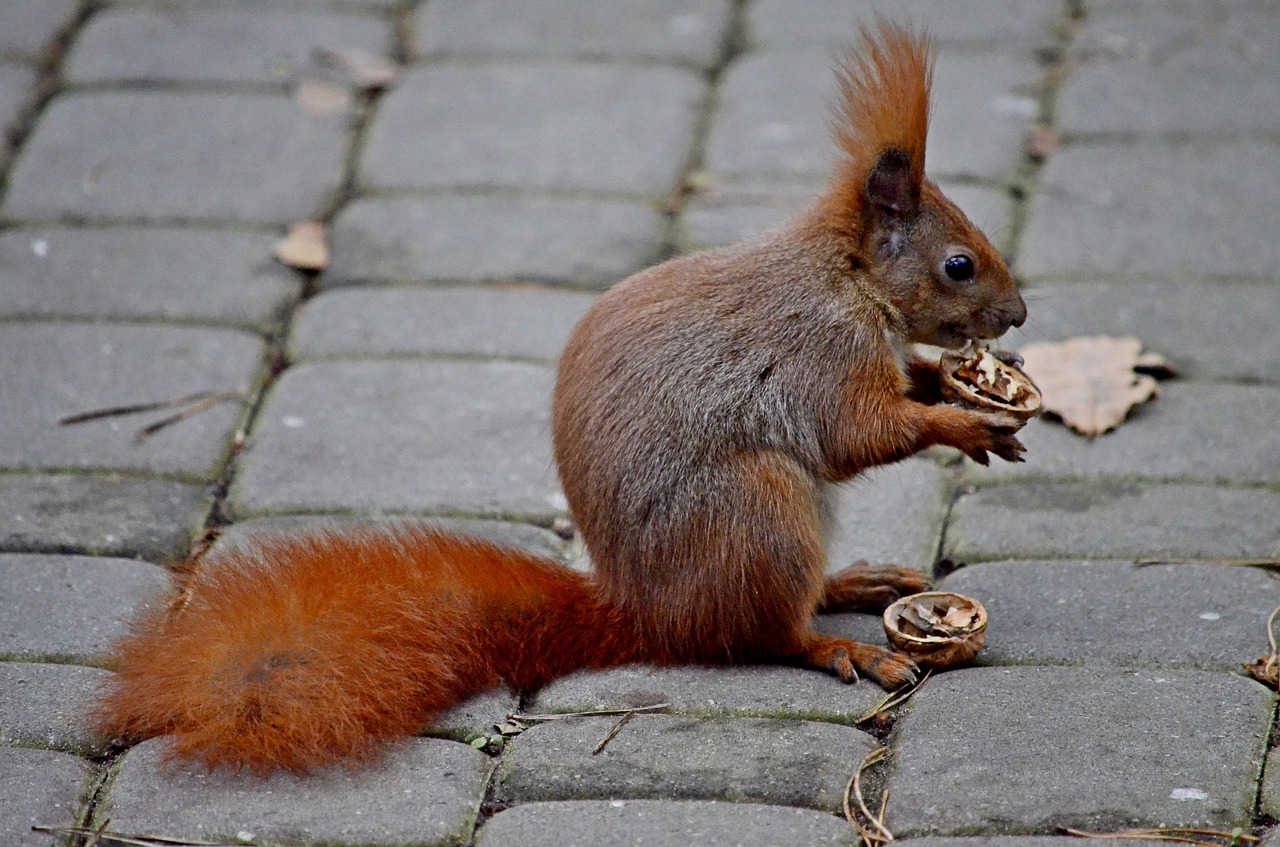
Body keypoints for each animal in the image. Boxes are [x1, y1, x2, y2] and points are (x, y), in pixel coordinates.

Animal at [90, 24, 1029, 777]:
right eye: (958, 264)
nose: (1019, 314)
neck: (848, 278)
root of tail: (643, 613)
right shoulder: (818, 355)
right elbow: (856, 434)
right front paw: (961, 421)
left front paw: (955, 379)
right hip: (758, 511)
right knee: (766, 635)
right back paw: (840, 646)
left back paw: (853, 580)